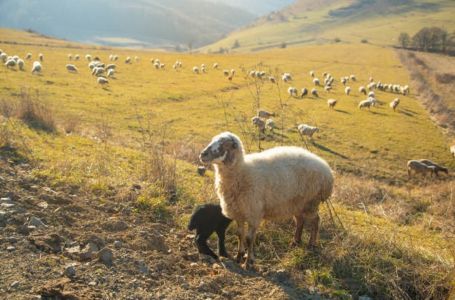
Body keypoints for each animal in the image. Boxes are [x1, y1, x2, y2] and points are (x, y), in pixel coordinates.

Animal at [200, 132, 334, 268]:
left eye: (224, 144)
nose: (203, 154)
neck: (242, 172)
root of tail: (327, 169)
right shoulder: (239, 212)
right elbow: (239, 234)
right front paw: (239, 256)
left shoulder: (254, 213)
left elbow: (249, 238)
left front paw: (248, 263)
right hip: (297, 203)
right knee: (300, 220)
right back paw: (295, 242)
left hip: (311, 202)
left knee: (315, 221)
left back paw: (311, 245)